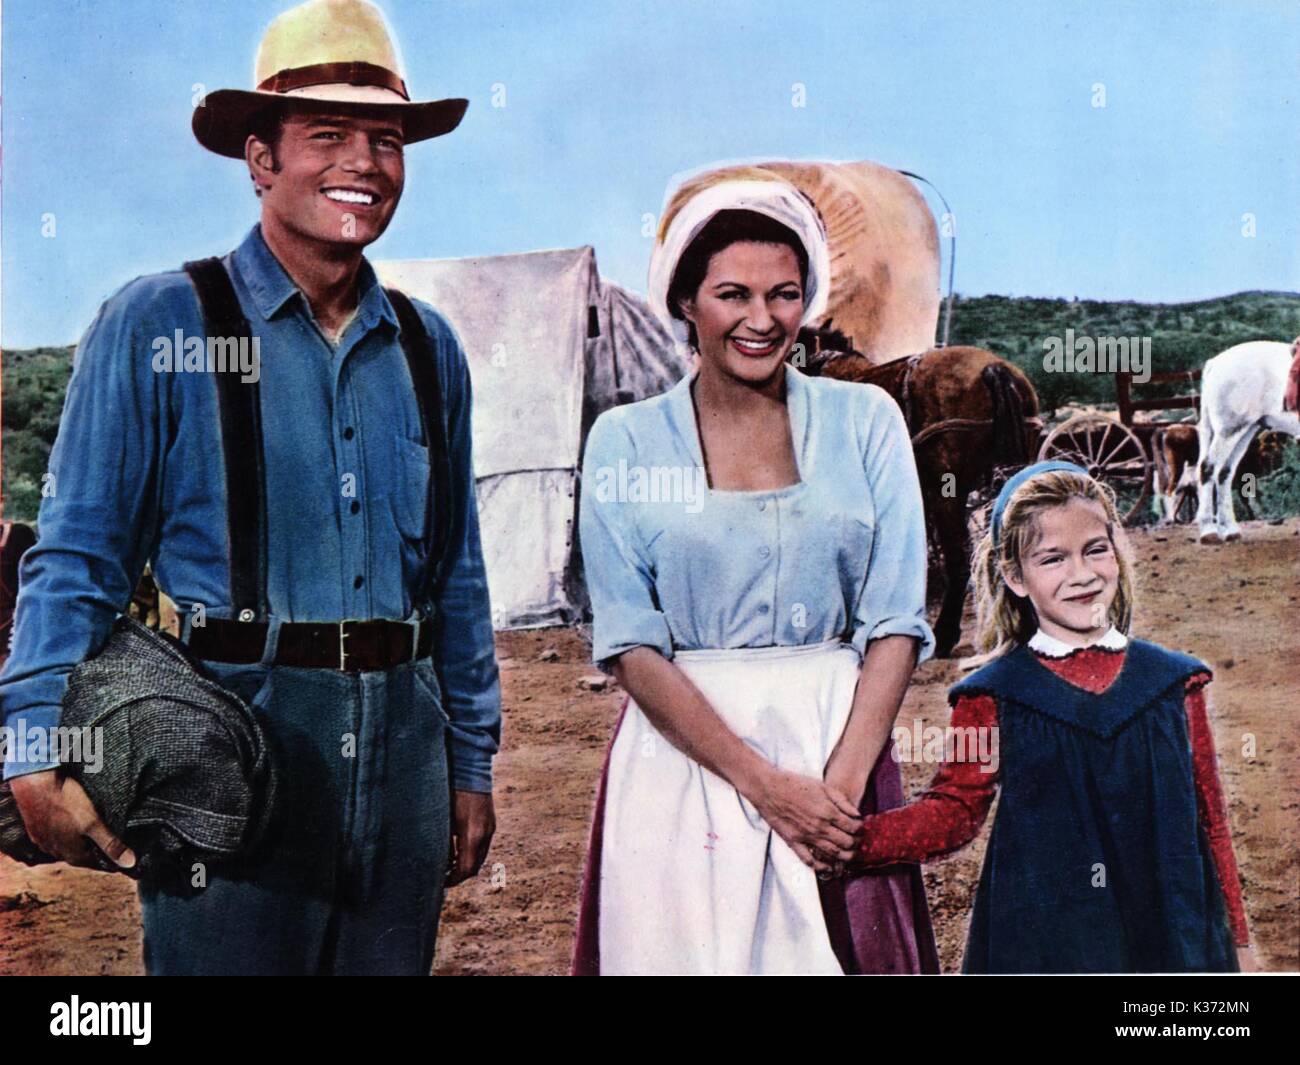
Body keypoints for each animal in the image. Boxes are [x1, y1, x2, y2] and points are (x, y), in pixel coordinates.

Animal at [1196, 340, 1300, 540]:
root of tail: (1215, 363)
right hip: (1229, 430)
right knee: (1208, 468)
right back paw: (1209, 531)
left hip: (1246, 431)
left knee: (1224, 472)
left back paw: (1230, 529)